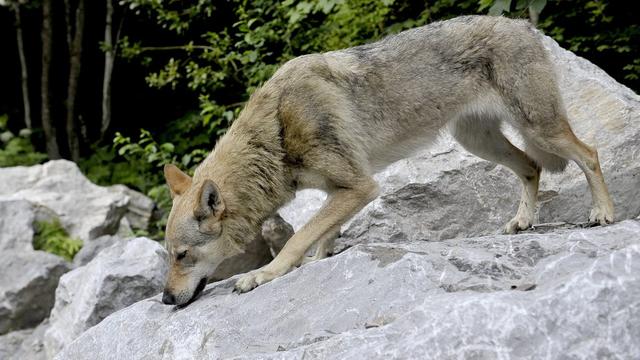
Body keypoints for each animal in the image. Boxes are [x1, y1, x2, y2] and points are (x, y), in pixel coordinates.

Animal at [160, 15, 616, 306]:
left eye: (181, 256)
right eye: (168, 257)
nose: (164, 299)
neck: (274, 132)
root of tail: (523, 24)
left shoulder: (360, 187)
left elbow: (297, 237)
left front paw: (264, 274)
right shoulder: (341, 190)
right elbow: (321, 234)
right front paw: (319, 260)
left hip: (540, 129)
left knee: (590, 153)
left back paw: (603, 214)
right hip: (481, 142)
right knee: (532, 167)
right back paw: (522, 222)